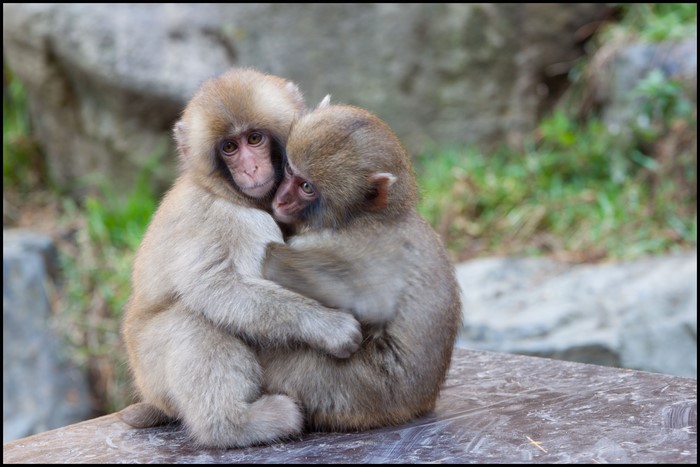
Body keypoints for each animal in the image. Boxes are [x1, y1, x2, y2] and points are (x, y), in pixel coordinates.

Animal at [118, 68, 363, 449]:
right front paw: (327, 325)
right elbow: (217, 286)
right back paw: (235, 425)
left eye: (255, 138)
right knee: (191, 321)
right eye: (230, 148)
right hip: (151, 367)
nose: (249, 168)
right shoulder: (231, 219)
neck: (227, 192)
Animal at [259, 103, 463, 431]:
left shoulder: (354, 244)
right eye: (290, 171)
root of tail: (420, 404)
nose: (282, 199)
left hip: (357, 391)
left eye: (306, 187)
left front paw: (270, 256)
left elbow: (371, 302)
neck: (361, 216)